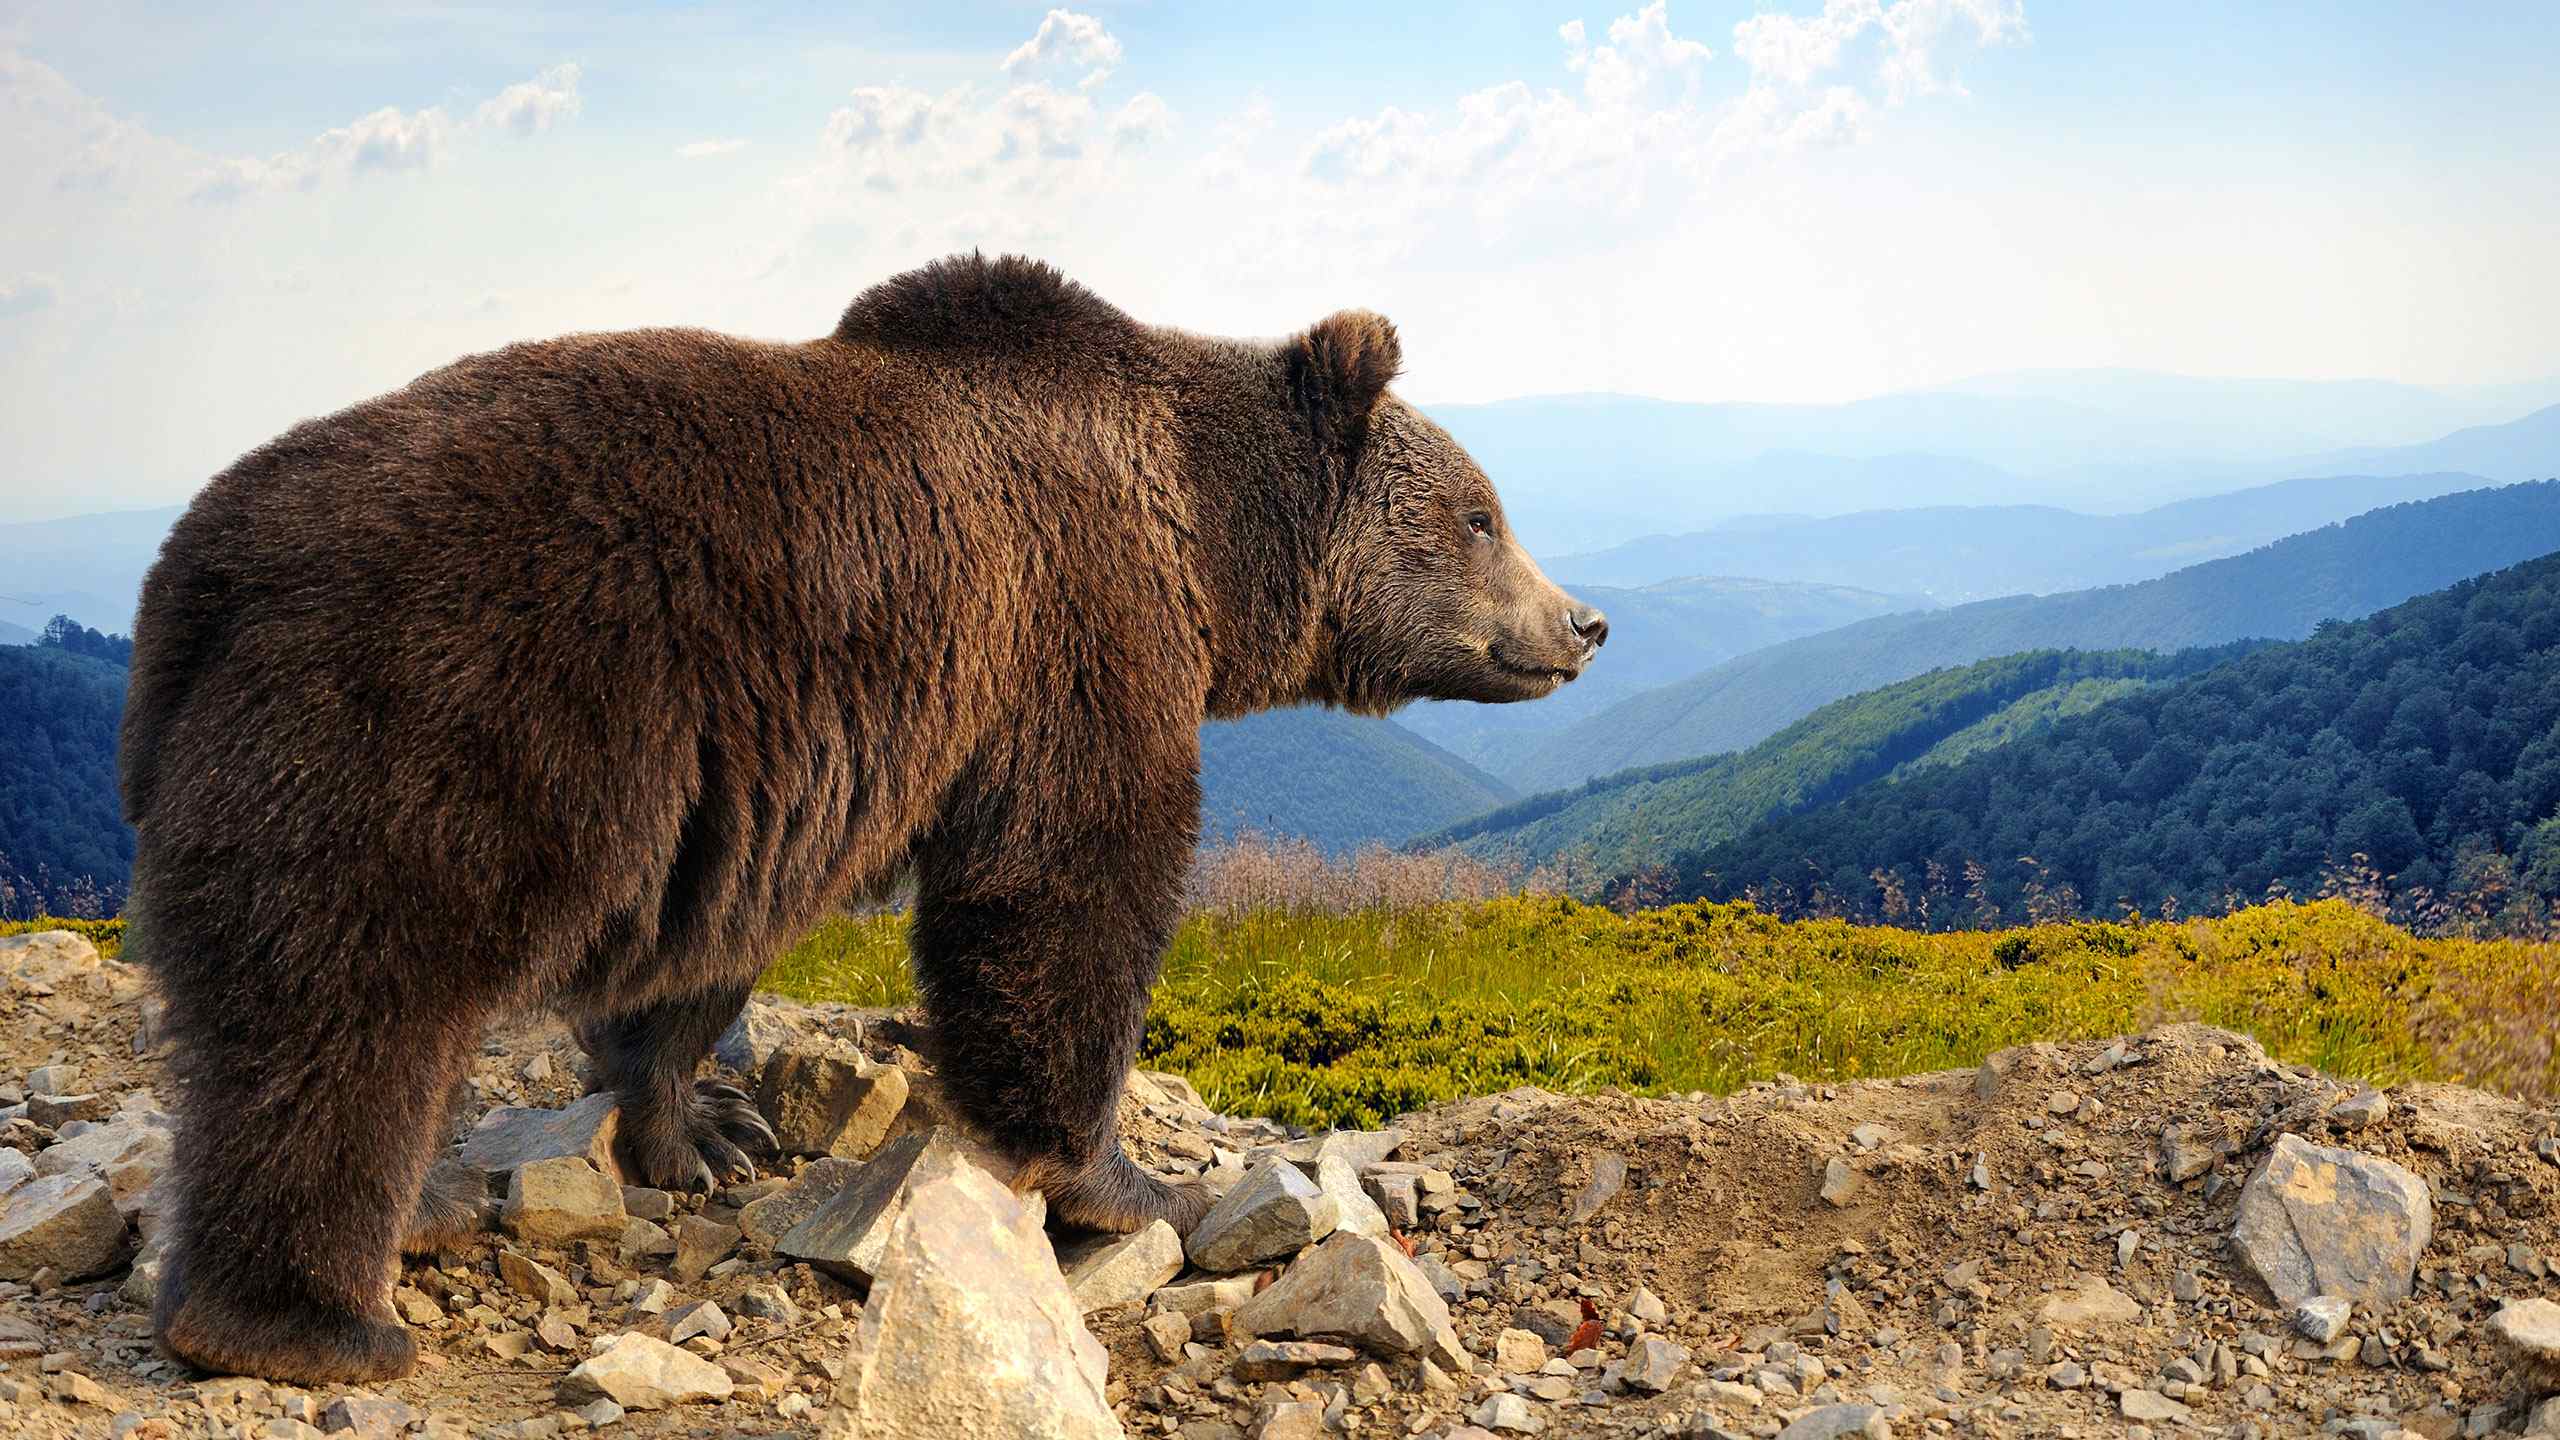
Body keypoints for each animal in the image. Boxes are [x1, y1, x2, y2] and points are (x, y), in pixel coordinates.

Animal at [120, 253, 1608, 1385]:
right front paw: (1128, 1182)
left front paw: (705, 1128)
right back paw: (311, 1317)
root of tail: (201, 566)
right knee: (347, 1013)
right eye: (1481, 515)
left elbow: (707, 952)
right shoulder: (1071, 635)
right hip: (436, 719)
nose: (1582, 623)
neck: (1205, 543)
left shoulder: (762, 776)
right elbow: (1067, 892)